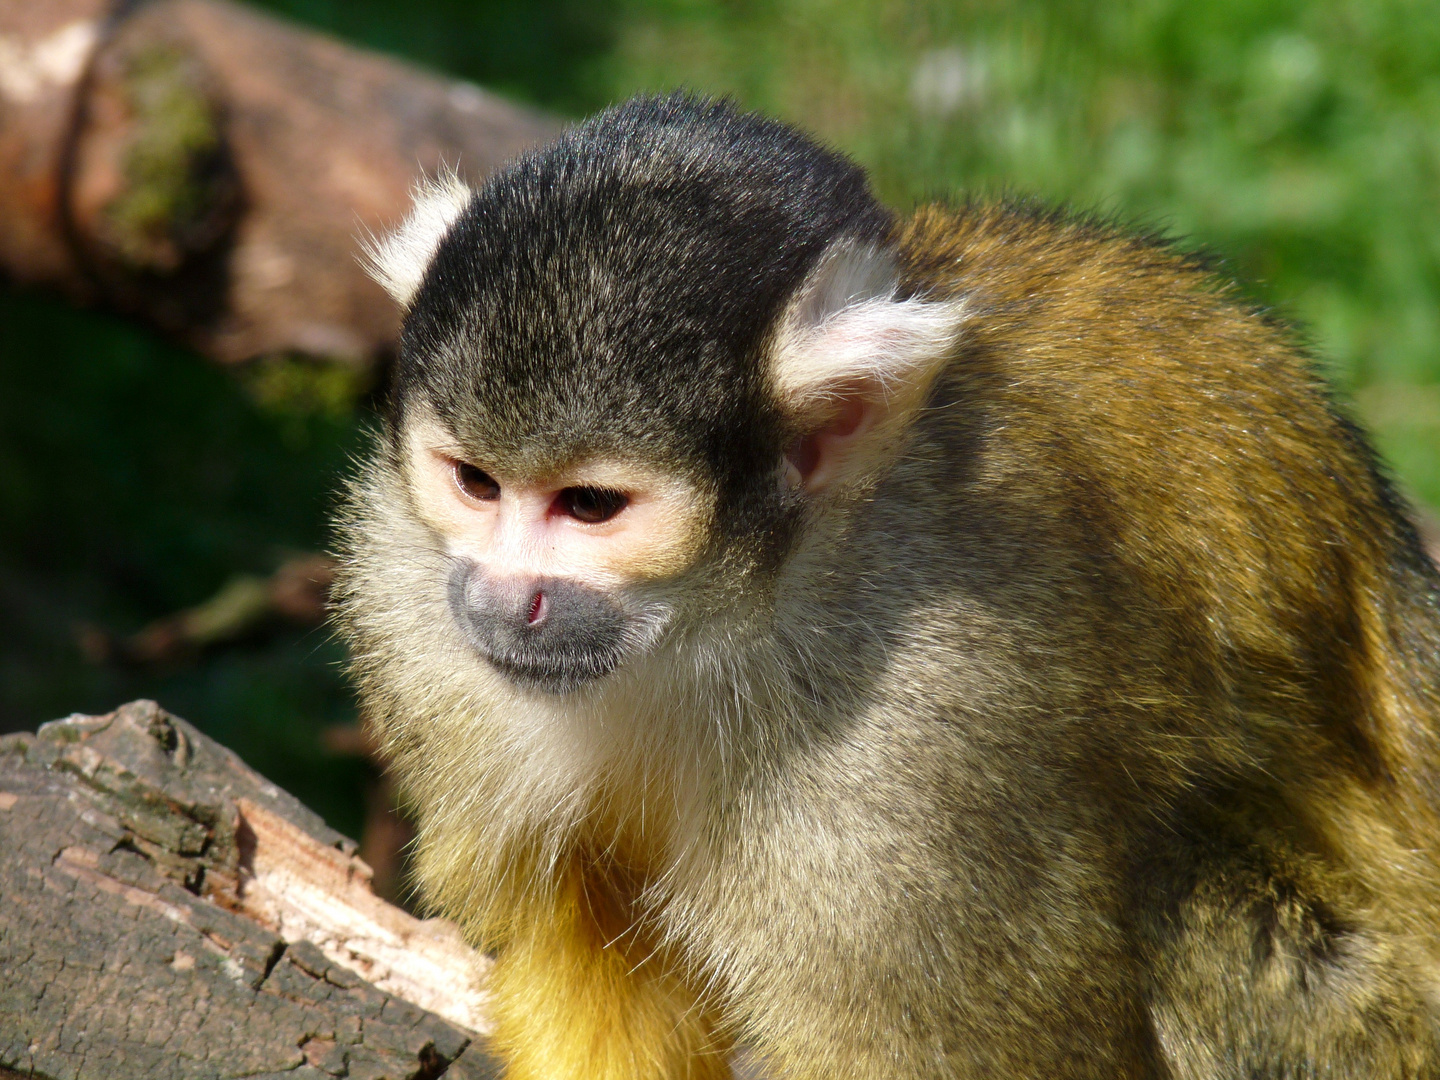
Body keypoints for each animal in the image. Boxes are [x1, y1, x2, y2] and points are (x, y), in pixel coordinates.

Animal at [331, 95, 1440, 1080]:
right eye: (475, 483)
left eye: (590, 506)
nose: (504, 600)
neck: (723, 623)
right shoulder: (414, 617)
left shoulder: (927, 735)